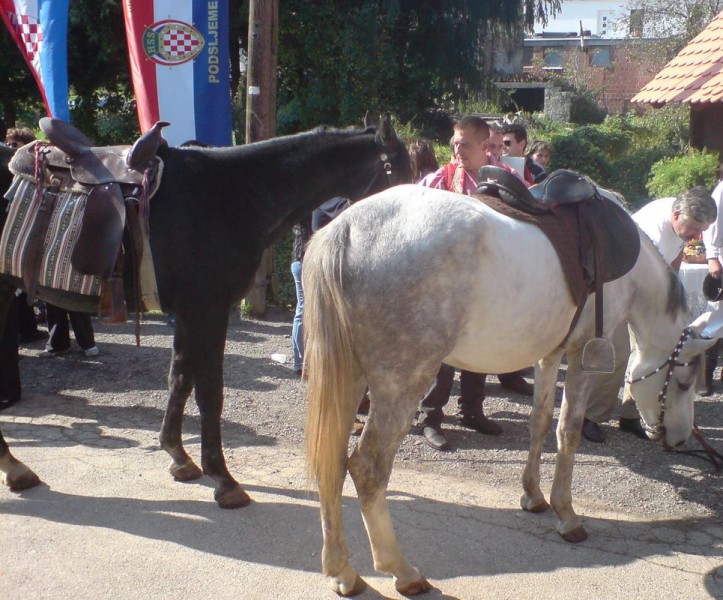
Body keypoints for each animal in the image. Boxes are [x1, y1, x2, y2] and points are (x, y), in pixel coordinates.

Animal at [0, 115, 413, 506]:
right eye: (401, 174)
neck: (230, 195)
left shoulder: (190, 313)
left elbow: (180, 379)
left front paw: (179, 456)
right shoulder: (209, 310)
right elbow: (210, 392)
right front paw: (223, 479)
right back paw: (15, 467)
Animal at [303, 184, 715, 596]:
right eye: (682, 383)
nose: (679, 439)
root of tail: (349, 226)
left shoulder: (549, 355)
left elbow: (540, 422)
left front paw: (533, 495)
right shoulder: (582, 355)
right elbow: (568, 431)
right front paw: (566, 514)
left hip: (349, 378)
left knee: (332, 462)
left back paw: (342, 572)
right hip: (401, 383)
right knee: (367, 468)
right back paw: (402, 571)